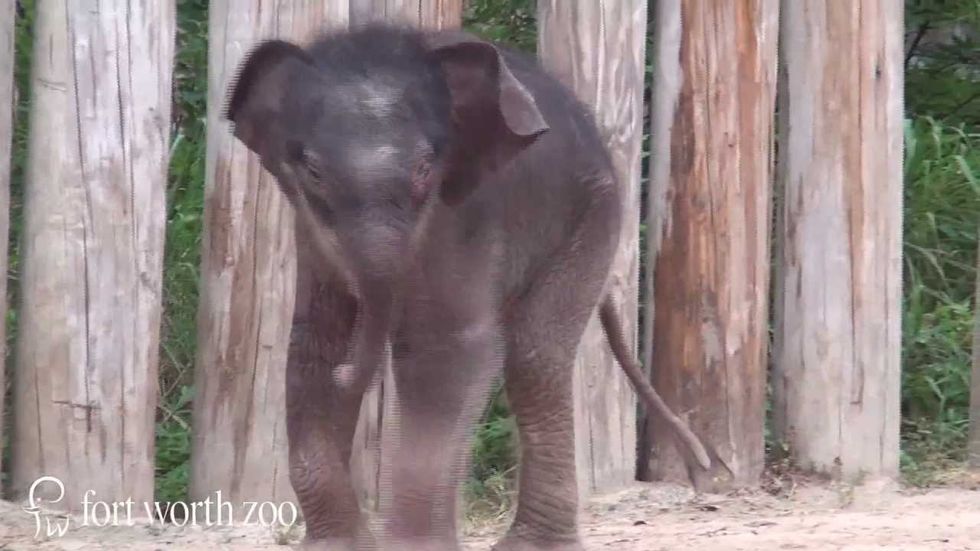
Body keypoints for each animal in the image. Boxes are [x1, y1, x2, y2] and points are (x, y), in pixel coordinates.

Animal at [224, 23, 709, 551]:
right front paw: (339, 545)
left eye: (424, 169)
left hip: (593, 218)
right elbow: (313, 343)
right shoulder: (311, 234)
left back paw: (531, 545)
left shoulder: (465, 215)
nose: (351, 372)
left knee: (535, 357)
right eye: (313, 172)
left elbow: (448, 349)